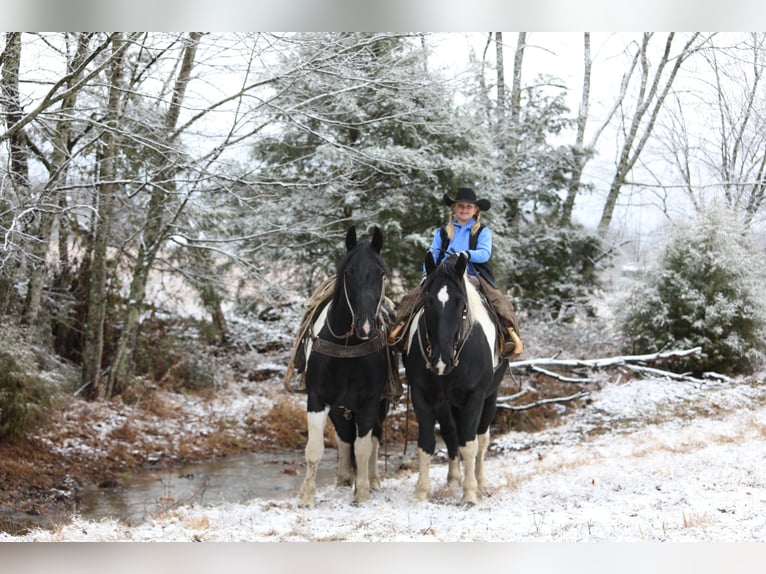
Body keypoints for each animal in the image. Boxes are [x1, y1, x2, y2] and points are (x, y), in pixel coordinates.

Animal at [298, 225, 392, 506]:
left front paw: (362, 491)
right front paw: (307, 495)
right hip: (340, 408)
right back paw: (343, 478)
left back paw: (372, 480)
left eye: (380, 273)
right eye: (349, 272)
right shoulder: (318, 398)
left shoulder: (370, 401)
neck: (348, 345)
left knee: (374, 439)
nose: (366, 326)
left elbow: (363, 448)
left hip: (382, 404)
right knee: (343, 438)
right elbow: (315, 448)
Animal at [403, 252, 508, 504]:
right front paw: (422, 492)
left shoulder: (475, 397)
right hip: (446, 403)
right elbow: (427, 444)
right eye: (428, 301)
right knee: (451, 435)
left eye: (461, 304)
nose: (442, 360)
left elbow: (469, 445)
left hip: (490, 397)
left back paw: (480, 482)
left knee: (481, 439)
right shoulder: (422, 396)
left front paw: (469, 494)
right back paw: (453, 479)